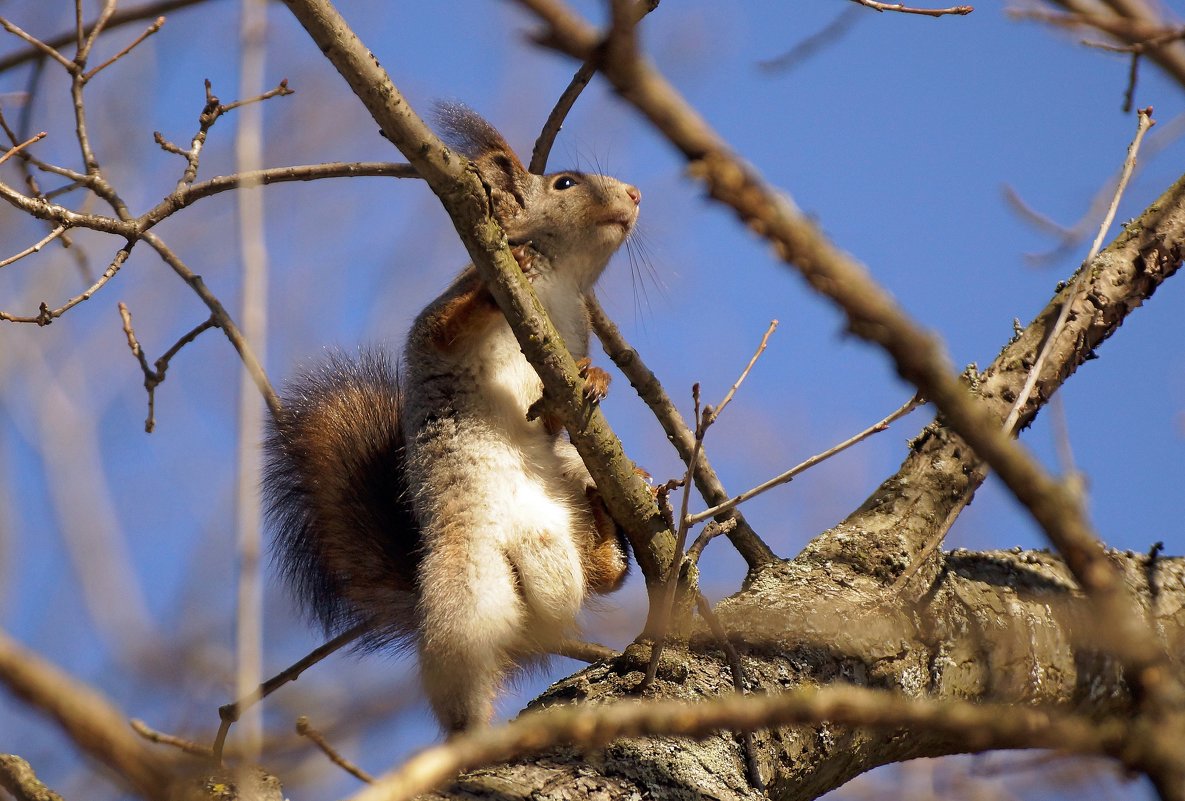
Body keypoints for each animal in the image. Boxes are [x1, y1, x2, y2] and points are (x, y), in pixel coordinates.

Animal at [265, 104, 644, 729]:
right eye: (565, 183)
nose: (636, 193)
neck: (557, 285)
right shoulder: (449, 308)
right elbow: (445, 327)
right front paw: (501, 282)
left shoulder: (569, 339)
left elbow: (553, 416)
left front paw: (596, 378)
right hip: (465, 595)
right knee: (464, 676)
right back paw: (470, 735)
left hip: (567, 483)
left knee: (604, 578)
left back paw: (612, 516)